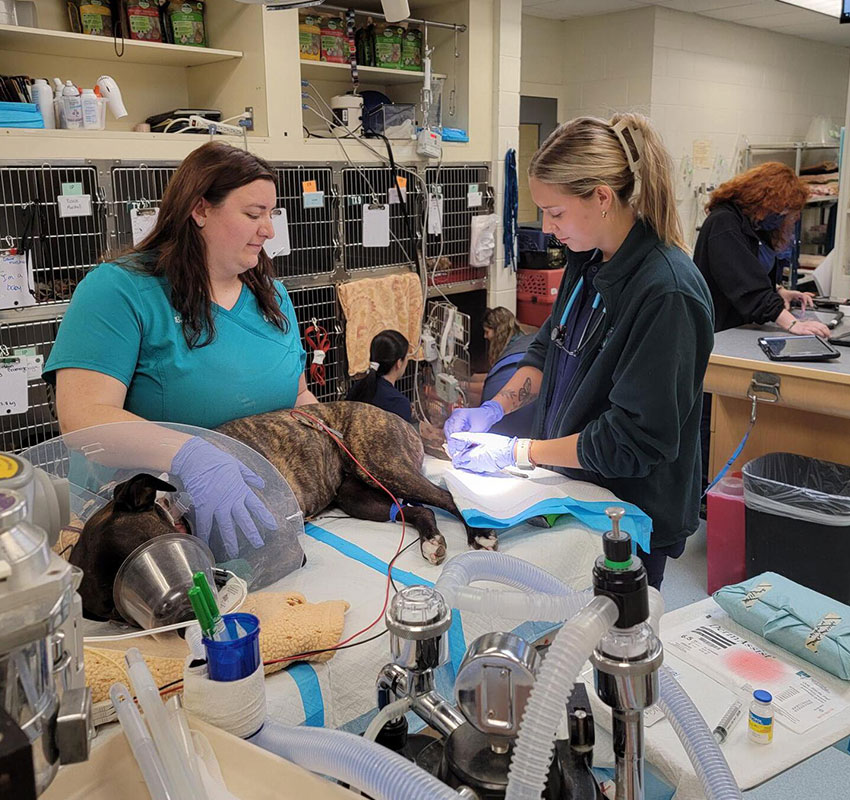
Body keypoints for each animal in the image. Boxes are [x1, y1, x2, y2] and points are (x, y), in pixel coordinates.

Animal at [217, 400, 496, 564]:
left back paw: (479, 534)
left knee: (445, 497)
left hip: (385, 468)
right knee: (420, 511)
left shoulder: (285, 547)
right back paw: (431, 541)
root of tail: (400, 419)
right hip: (357, 497)